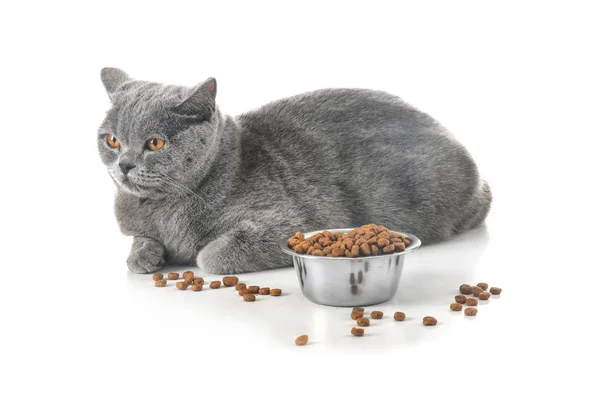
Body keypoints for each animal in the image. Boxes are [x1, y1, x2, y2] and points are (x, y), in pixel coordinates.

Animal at [98, 67, 492, 274]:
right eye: (113, 140)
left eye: (155, 143)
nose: (125, 164)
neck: (163, 209)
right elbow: (139, 242)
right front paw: (143, 255)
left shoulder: (291, 223)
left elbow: (210, 255)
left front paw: (193, 255)